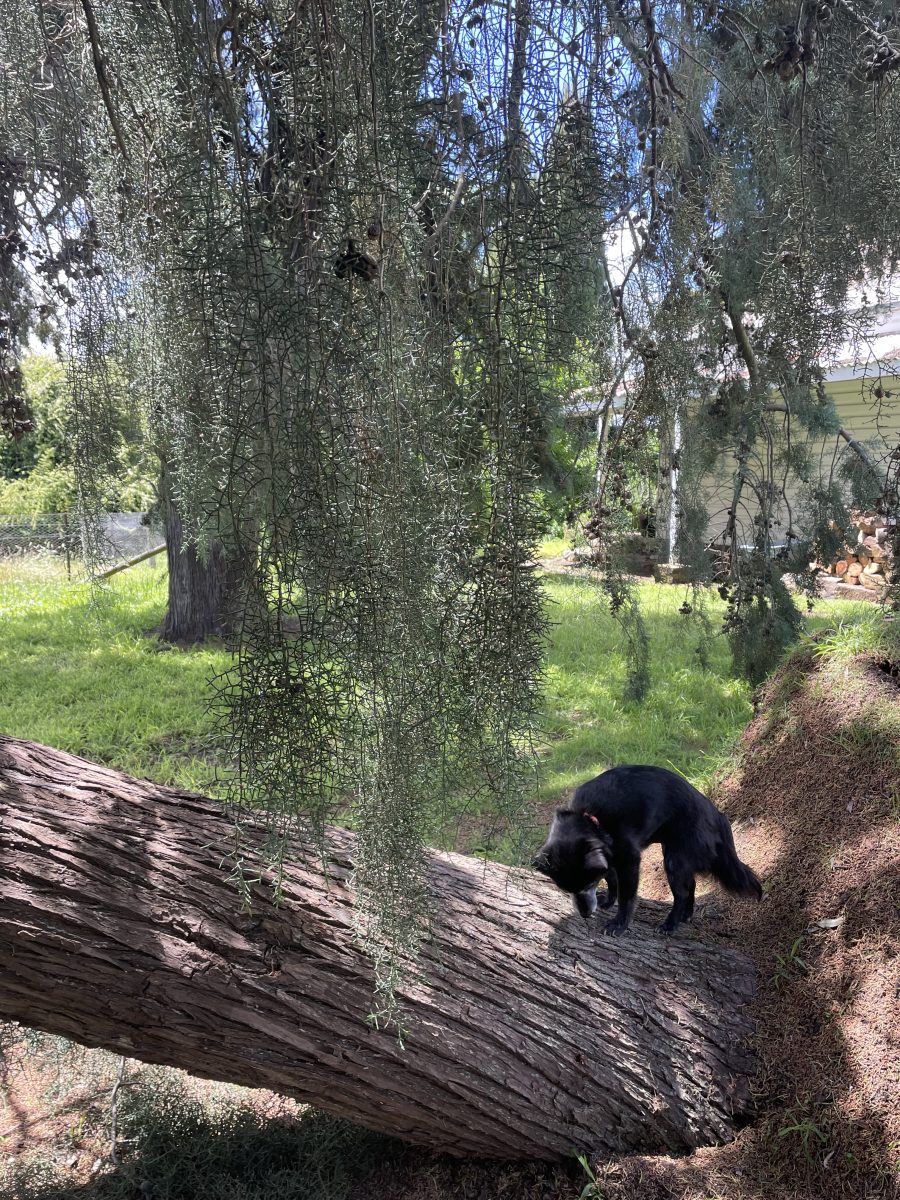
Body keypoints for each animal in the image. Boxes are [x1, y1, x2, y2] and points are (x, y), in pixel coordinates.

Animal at [532, 768, 763, 936]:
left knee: (681, 893)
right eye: (567, 890)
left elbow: (626, 897)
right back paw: (687, 914)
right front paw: (608, 900)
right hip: (678, 855)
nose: (586, 914)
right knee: (691, 885)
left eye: (587, 884)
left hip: (673, 860)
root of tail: (717, 814)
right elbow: (610, 879)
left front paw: (619, 924)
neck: (591, 819)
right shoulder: (610, 857)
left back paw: (670, 924)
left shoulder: (629, 861)